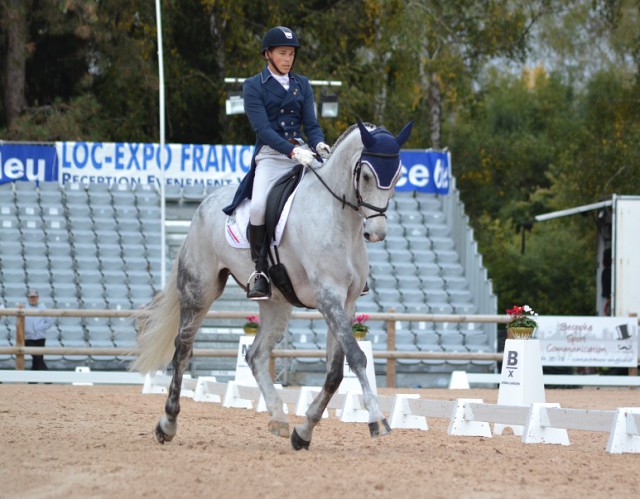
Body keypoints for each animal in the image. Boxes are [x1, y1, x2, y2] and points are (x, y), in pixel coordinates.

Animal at [134, 120, 416, 450]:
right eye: (367, 175)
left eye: (397, 175)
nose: (377, 233)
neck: (338, 218)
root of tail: (203, 205)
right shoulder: (328, 297)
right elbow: (357, 357)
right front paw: (377, 419)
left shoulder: (346, 304)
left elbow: (335, 371)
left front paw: (303, 431)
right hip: (199, 290)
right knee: (183, 348)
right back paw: (167, 423)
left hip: (275, 303)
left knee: (255, 354)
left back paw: (279, 418)